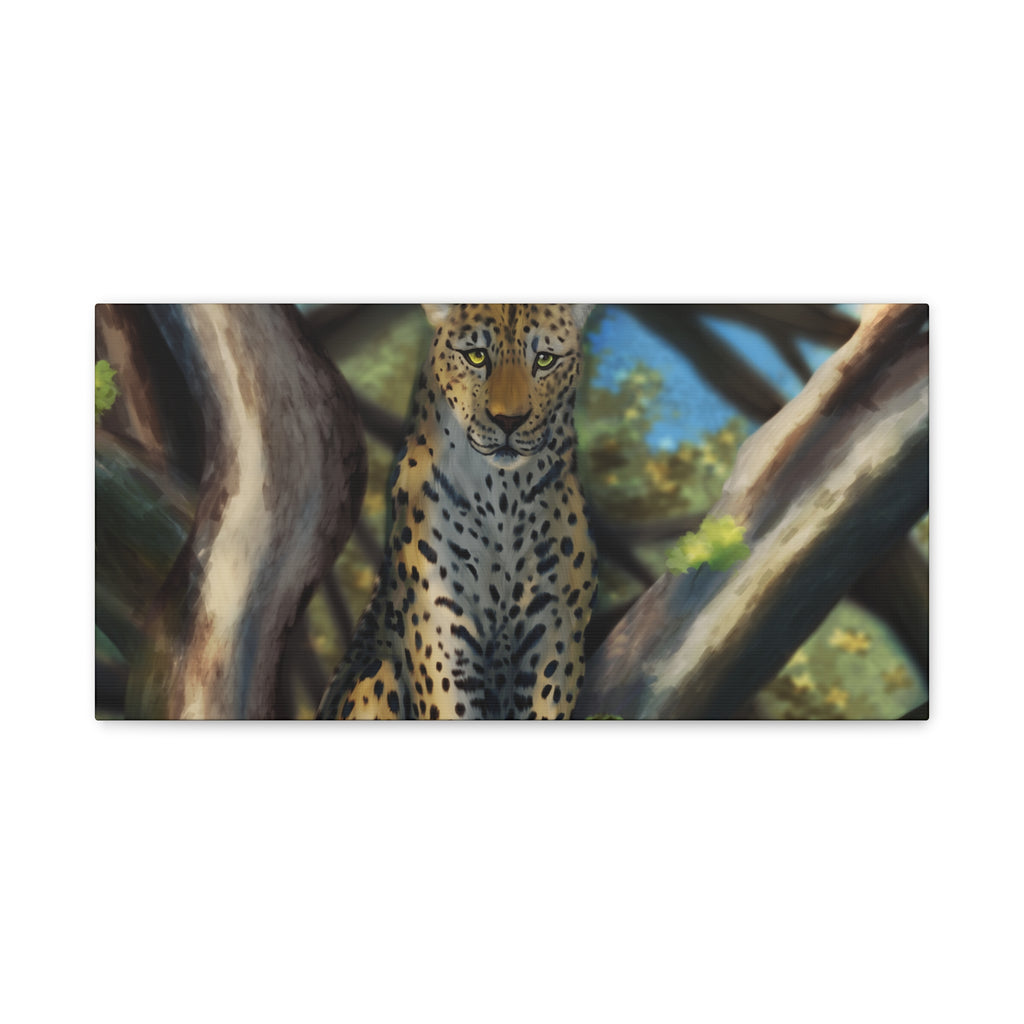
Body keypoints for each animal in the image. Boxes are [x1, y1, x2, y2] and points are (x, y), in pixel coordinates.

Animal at [316, 303, 598, 721]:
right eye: (476, 356)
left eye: (545, 360)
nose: (508, 421)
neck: (504, 495)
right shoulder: (440, 627)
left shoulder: (556, 629)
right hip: (375, 677)